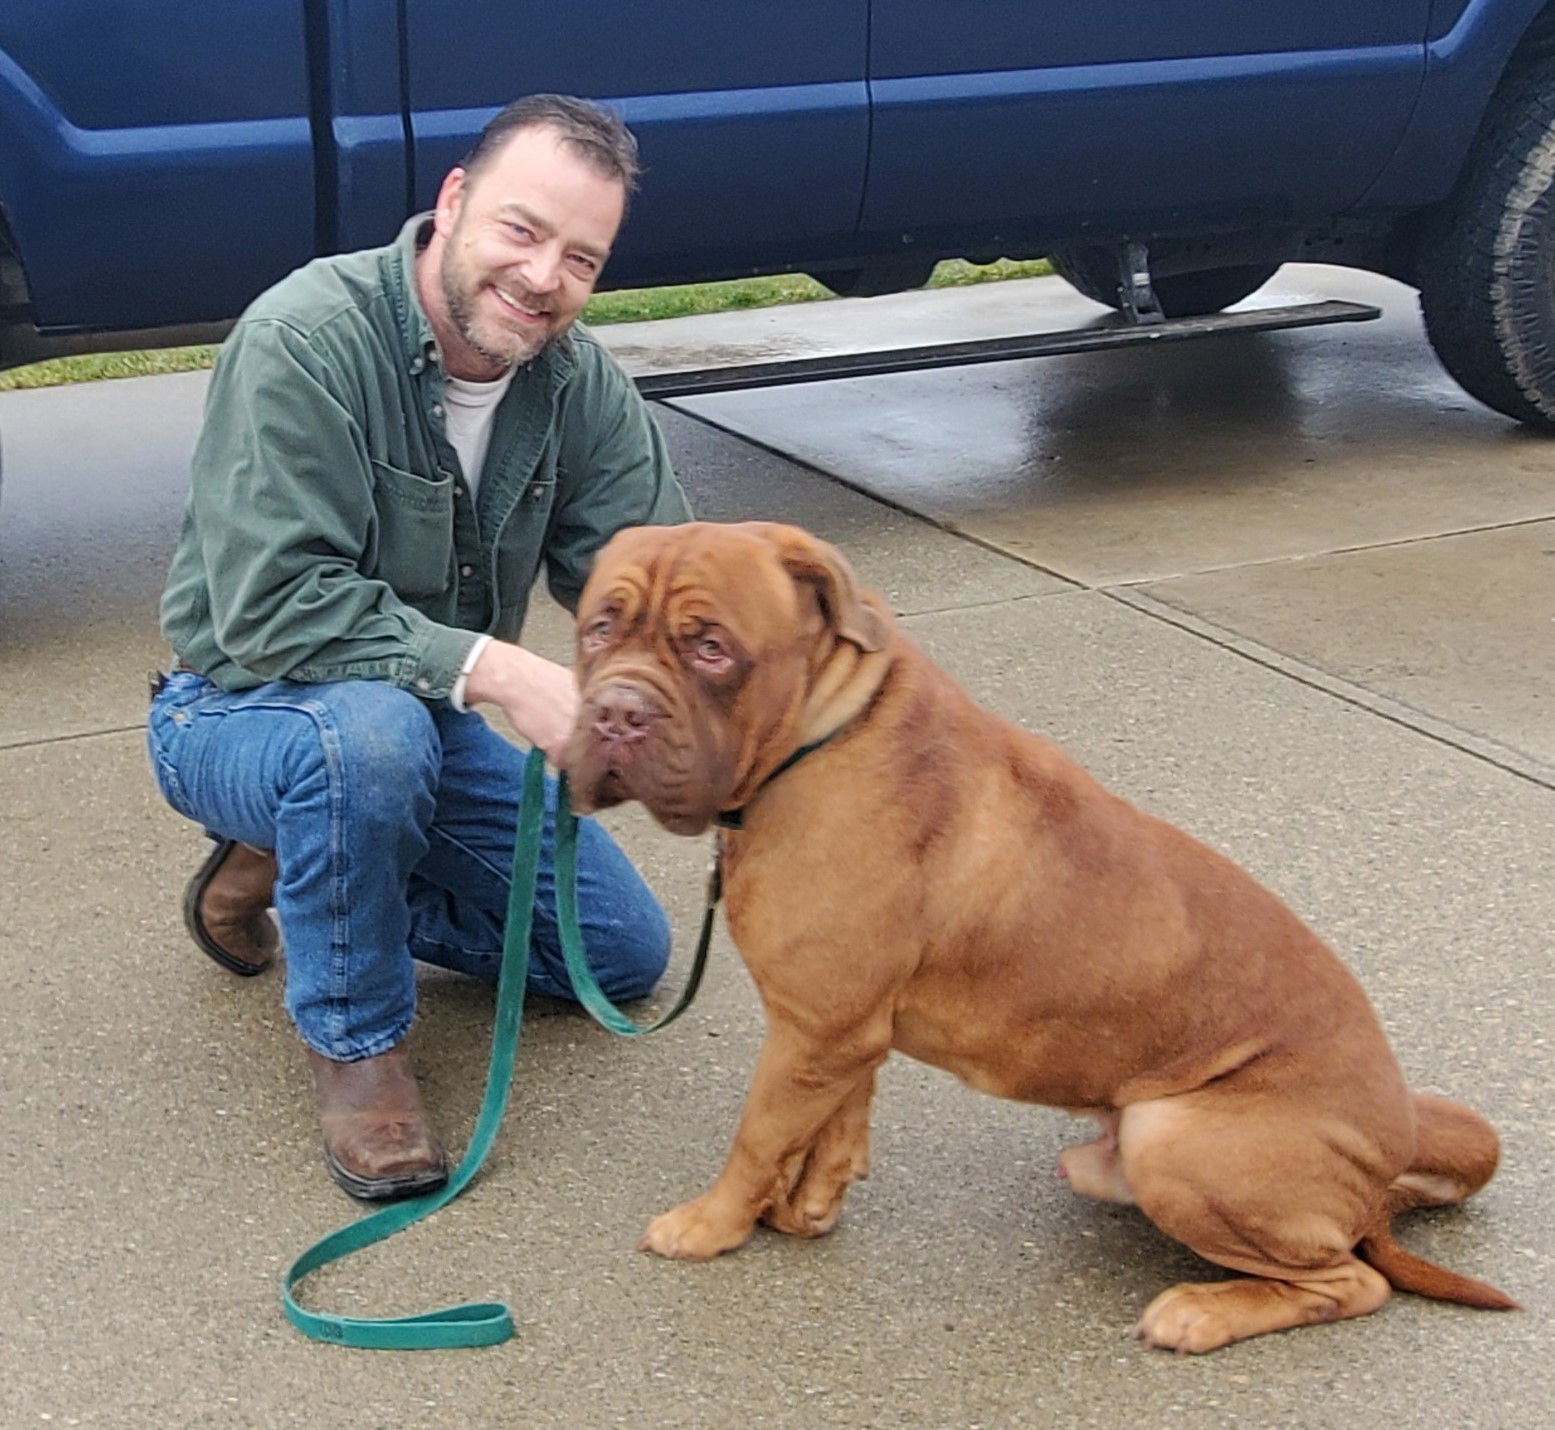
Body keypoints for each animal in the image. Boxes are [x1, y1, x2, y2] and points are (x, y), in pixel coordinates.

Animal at [556, 516, 1505, 1349]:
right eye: (600, 625)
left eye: (711, 648)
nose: (616, 712)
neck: (820, 729)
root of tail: (1385, 1164)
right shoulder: (839, 1026)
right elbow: (833, 1118)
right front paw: (810, 1204)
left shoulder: (814, 1027)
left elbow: (757, 1136)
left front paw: (712, 1224)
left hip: (1174, 1137)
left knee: (1350, 1282)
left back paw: (1201, 1313)